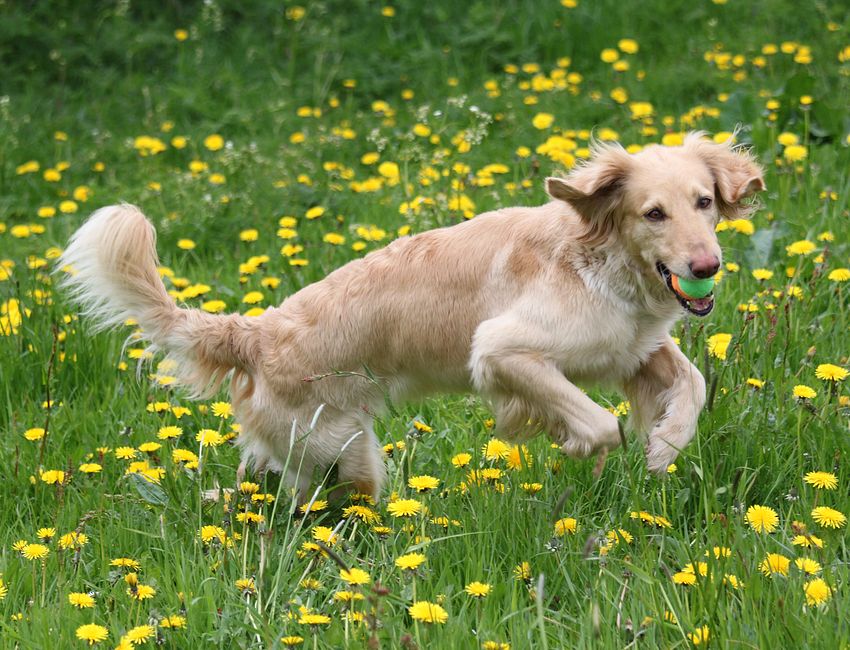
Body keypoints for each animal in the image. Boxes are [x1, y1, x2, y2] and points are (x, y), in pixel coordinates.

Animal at [59, 131, 764, 501]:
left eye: (704, 201)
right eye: (653, 213)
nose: (707, 266)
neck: (598, 257)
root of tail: (255, 333)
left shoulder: (635, 348)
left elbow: (690, 386)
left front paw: (663, 447)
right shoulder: (501, 349)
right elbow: (597, 424)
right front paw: (584, 445)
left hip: (301, 454)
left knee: (257, 488)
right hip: (344, 454)